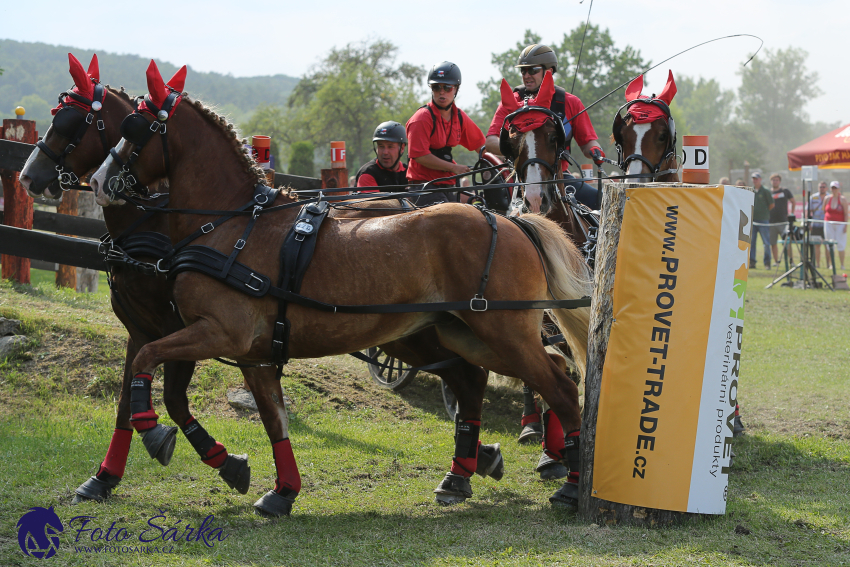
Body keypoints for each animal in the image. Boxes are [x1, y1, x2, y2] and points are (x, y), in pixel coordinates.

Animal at [88, 61, 588, 516]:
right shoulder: (251, 350)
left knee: (560, 386)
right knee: (513, 374)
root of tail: (513, 220)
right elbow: (273, 418)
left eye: (134, 126)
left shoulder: (219, 332)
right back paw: (476, 472)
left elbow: (148, 360)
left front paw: (154, 432)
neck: (234, 225)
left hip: (501, 332)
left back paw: (570, 483)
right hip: (465, 334)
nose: (97, 181)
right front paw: (276, 488)